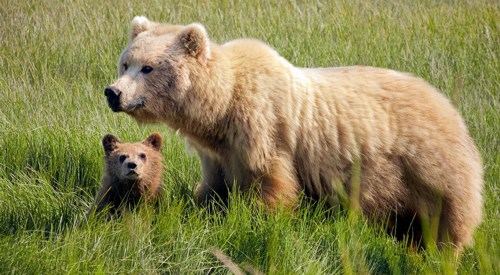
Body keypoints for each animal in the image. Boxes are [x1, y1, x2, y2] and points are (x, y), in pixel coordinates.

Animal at [103, 15, 482, 252]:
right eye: (125, 63)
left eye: (148, 67)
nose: (113, 92)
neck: (221, 107)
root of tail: (448, 105)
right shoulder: (218, 151)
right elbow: (214, 188)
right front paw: (206, 209)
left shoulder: (262, 129)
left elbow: (271, 182)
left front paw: (262, 220)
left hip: (426, 164)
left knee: (449, 216)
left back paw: (442, 252)